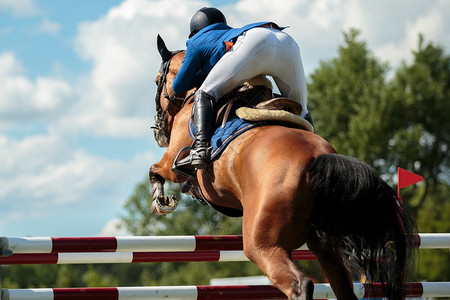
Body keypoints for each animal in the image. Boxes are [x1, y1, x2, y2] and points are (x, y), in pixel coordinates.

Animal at [149, 35, 416, 300]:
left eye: (157, 80)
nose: (158, 132)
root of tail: (316, 159)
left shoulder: (172, 160)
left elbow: (156, 170)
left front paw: (161, 201)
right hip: (326, 243)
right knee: (343, 288)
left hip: (263, 245)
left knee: (300, 285)